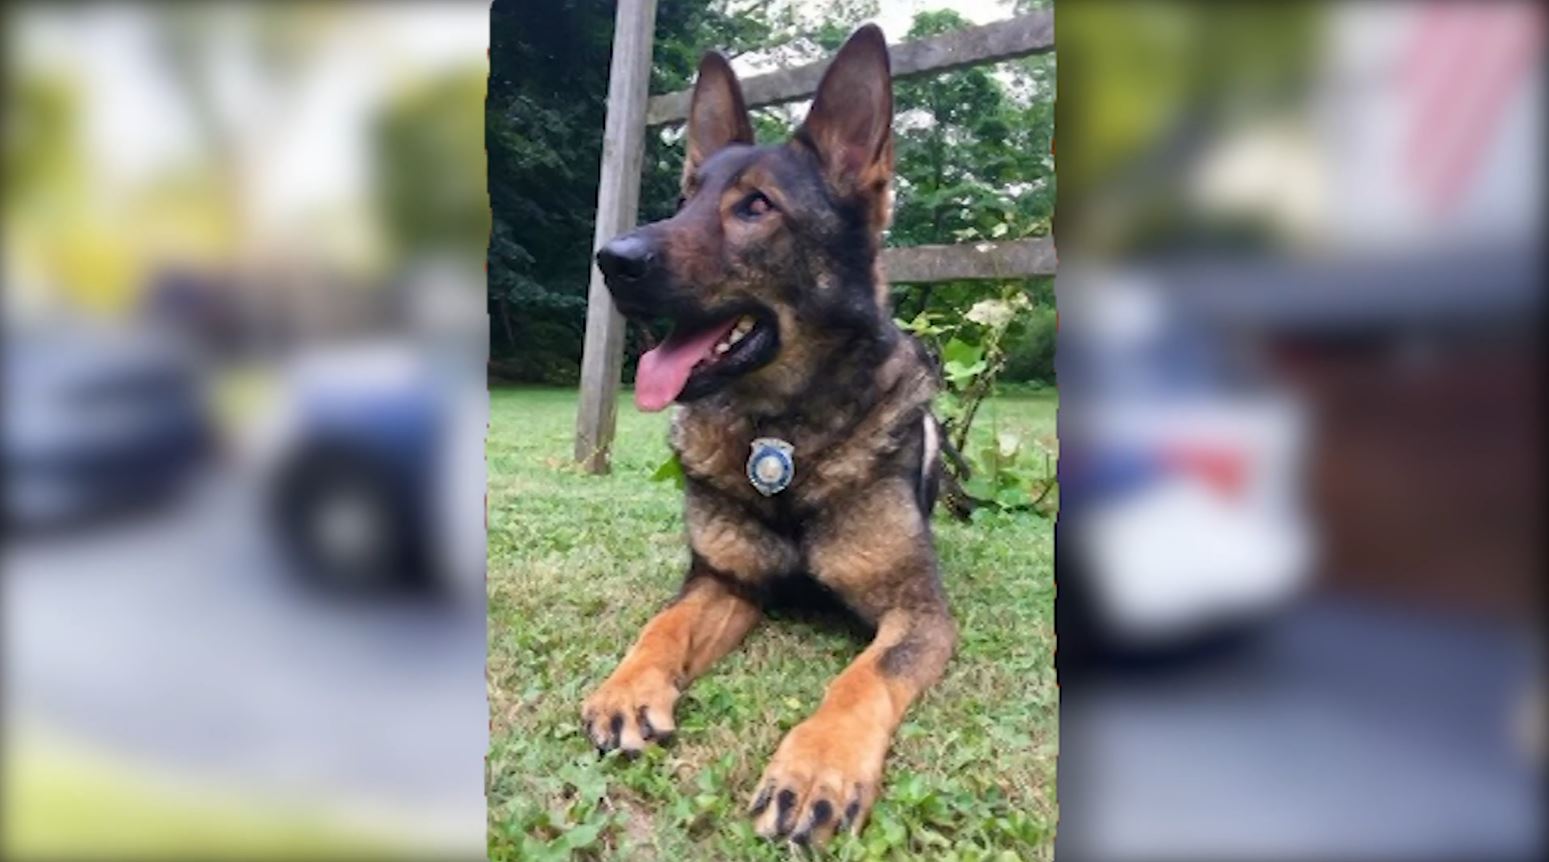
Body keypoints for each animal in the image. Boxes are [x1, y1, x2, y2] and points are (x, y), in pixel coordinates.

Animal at [582, 23, 947, 843]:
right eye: (683, 200)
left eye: (755, 206)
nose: (610, 260)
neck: (781, 437)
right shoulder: (725, 581)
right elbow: (662, 624)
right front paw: (627, 686)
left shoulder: (918, 613)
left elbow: (861, 677)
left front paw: (815, 765)